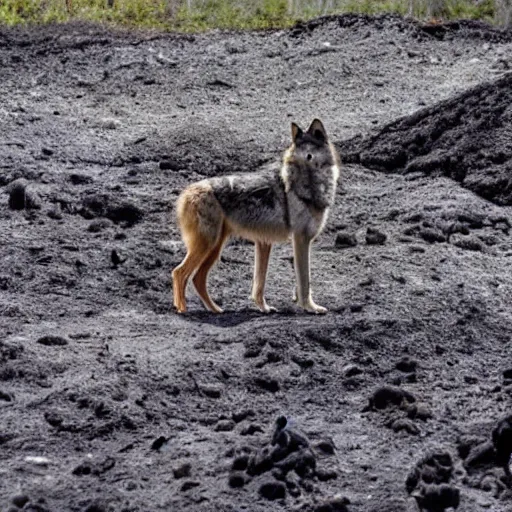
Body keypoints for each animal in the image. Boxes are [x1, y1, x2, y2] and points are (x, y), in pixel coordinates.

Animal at [172, 119, 340, 312]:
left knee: (197, 278)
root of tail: (186, 194)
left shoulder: (265, 242)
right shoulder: (300, 239)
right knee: (179, 273)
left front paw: (265, 308)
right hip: (207, 246)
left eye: (309, 158)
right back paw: (183, 310)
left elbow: (259, 283)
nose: (287, 186)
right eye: (289, 162)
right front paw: (311, 308)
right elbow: (304, 281)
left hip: (214, 248)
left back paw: (215, 310)